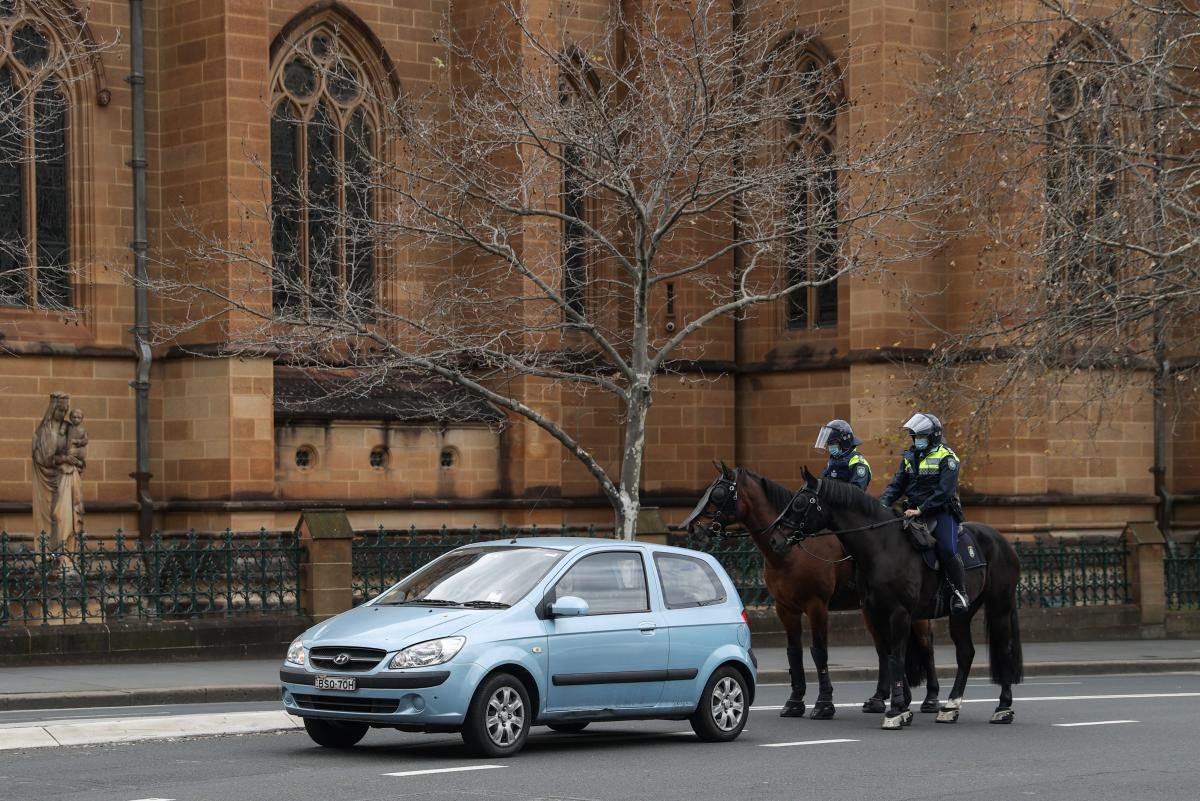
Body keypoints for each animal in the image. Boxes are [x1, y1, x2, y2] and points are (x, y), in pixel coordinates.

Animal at [686, 462, 936, 719]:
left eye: (718, 494)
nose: (693, 528)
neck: (791, 551)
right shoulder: (785, 608)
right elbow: (794, 652)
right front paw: (795, 701)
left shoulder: (816, 606)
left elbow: (819, 652)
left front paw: (824, 703)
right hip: (873, 611)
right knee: (885, 649)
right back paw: (884, 698)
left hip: (914, 612)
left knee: (925, 646)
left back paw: (930, 699)